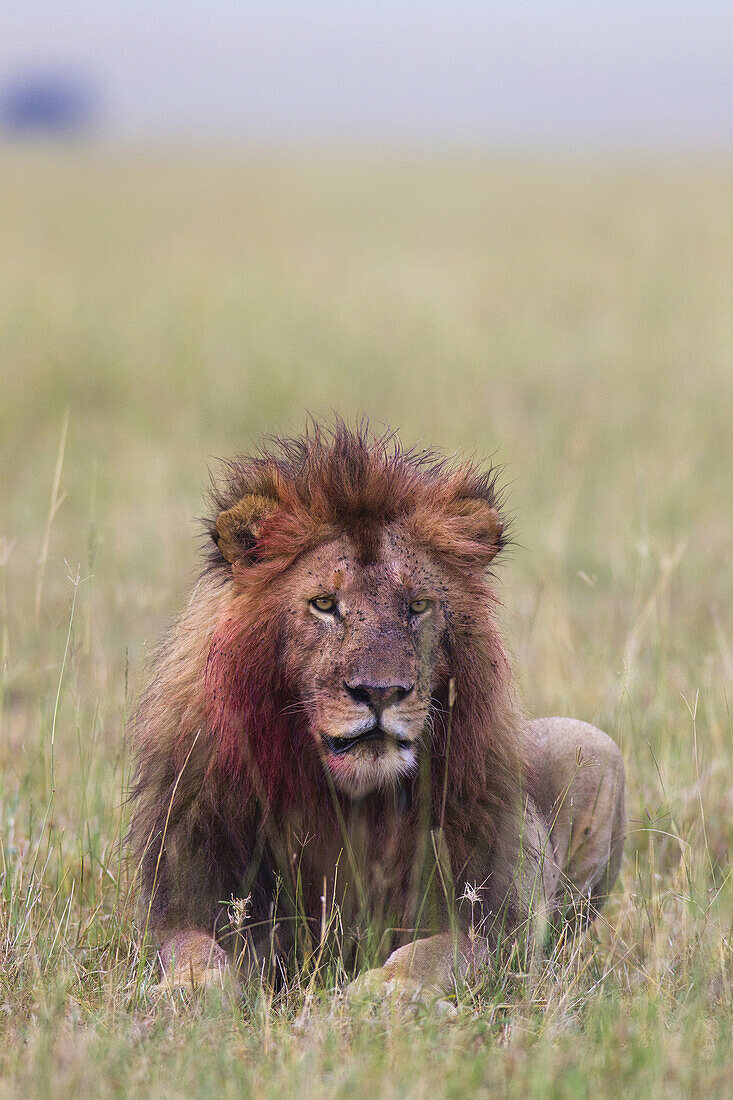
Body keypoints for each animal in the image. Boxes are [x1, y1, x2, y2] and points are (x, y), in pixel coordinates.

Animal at [129, 422, 620, 1007]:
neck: (349, 803)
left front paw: (383, 991)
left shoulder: (479, 920)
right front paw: (190, 990)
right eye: (324, 603)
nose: (380, 692)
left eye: (418, 606)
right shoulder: (198, 896)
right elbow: (194, 948)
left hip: (592, 744)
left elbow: (435, 953)